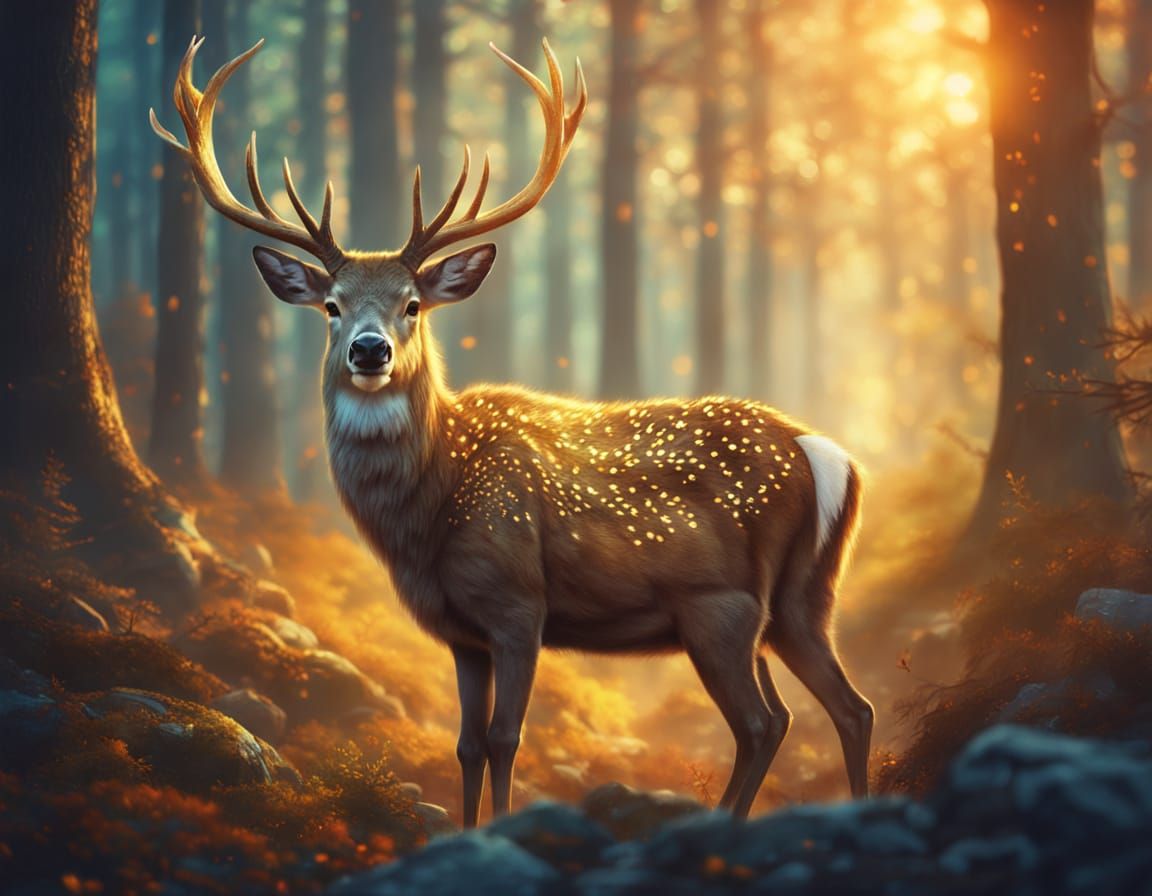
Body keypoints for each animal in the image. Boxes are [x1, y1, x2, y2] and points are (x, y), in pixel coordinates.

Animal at [152, 36, 874, 826]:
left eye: (412, 304)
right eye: (332, 306)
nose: (370, 351)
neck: (428, 516)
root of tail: (826, 455)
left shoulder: (517, 603)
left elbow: (505, 738)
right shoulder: (460, 632)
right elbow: (466, 744)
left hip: (719, 603)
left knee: (764, 720)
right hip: (799, 601)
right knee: (843, 708)